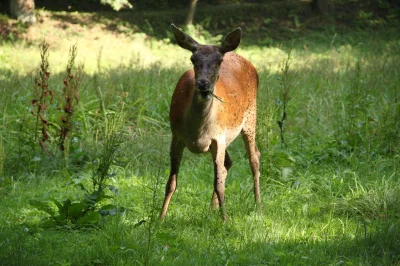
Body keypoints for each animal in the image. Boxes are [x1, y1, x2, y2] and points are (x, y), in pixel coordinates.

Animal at [161, 24, 260, 220]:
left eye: (219, 61)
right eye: (192, 58)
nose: (203, 83)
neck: (198, 132)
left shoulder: (218, 139)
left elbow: (219, 183)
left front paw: (225, 220)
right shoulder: (176, 137)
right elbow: (171, 183)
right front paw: (159, 217)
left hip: (250, 118)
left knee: (254, 158)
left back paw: (258, 205)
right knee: (229, 163)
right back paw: (212, 209)